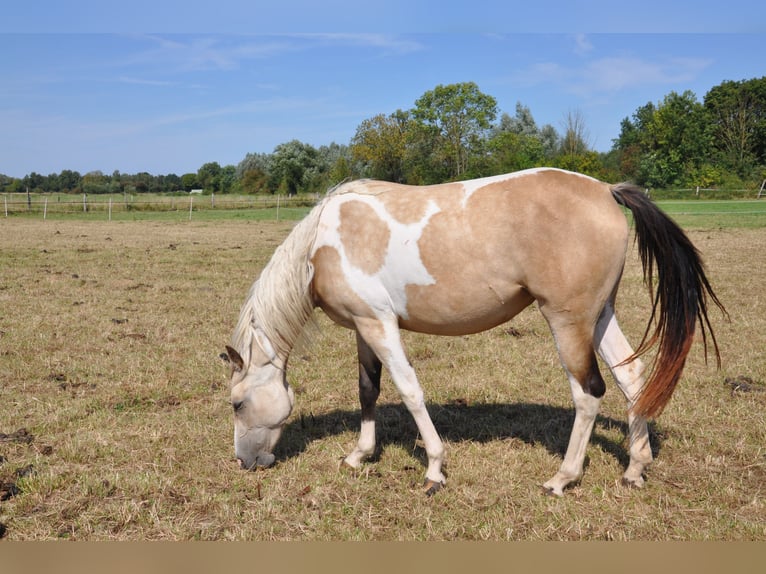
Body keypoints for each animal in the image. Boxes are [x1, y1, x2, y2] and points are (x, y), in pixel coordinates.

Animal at [223, 167, 724, 496]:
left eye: (237, 403)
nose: (244, 462)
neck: (324, 243)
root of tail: (605, 190)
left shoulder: (379, 325)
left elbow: (409, 391)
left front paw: (434, 469)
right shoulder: (364, 327)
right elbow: (369, 389)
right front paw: (360, 454)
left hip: (568, 322)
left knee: (589, 393)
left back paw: (563, 478)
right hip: (600, 316)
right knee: (632, 378)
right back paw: (635, 468)